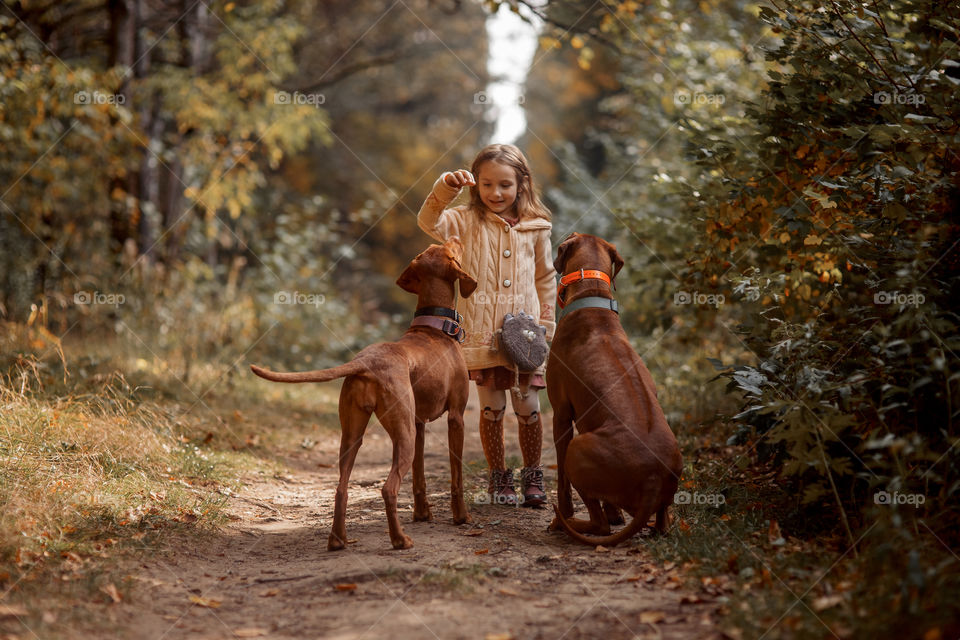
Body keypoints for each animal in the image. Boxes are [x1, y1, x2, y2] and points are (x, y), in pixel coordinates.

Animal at [251, 238, 476, 548]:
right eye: (449, 248)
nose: (455, 237)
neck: (434, 327)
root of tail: (365, 361)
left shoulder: (419, 423)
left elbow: (419, 476)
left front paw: (422, 514)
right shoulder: (456, 418)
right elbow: (457, 476)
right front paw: (461, 517)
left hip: (354, 435)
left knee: (341, 488)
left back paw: (338, 540)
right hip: (402, 436)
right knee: (388, 488)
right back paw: (399, 540)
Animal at [548, 232, 684, 548]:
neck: (591, 297)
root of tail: (652, 478)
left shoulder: (560, 413)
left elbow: (561, 481)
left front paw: (567, 512)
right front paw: (615, 512)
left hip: (577, 448)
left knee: (599, 527)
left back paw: (565, 523)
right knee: (662, 523)